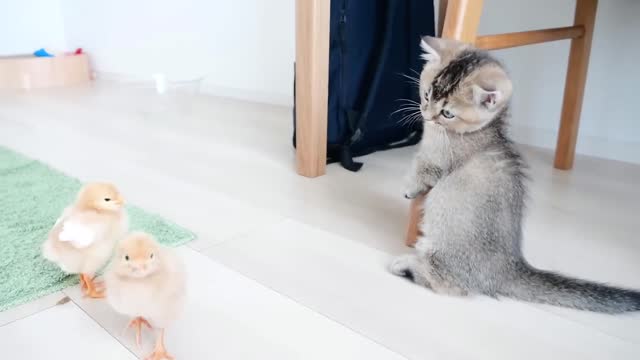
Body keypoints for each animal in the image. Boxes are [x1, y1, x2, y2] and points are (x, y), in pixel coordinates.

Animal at [388, 35, 640, 312]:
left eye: (447, 113)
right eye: (427, 95)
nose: (427, 114)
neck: (487, 129)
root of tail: (512, 266)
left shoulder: (435, 158)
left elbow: (422, 170)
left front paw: (409, 188)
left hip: (445, 254)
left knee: (452, 286)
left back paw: (405, 266)